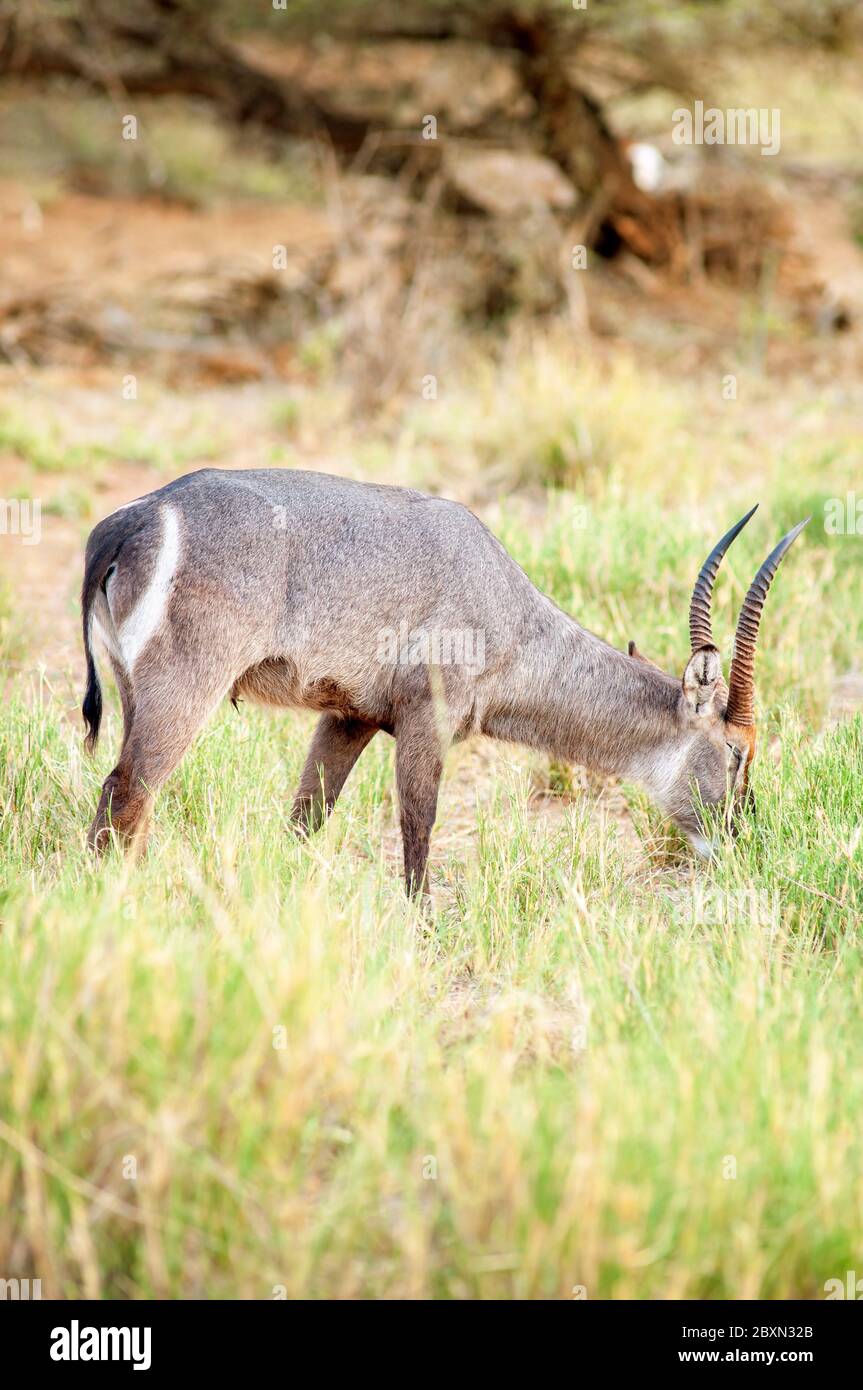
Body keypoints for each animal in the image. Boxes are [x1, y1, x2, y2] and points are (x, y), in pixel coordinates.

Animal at [82, 472, 806, 889]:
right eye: (738, 751)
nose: (741, 841)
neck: (507, 613)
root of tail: (138, 517)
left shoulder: (349, 716)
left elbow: (306, 818)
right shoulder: (426, 719)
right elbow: (417, 826)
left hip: (132, 690)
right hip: (185, 689)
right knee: (128, 791)